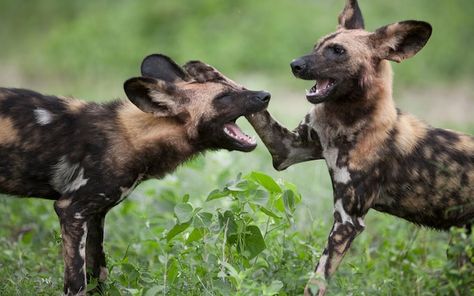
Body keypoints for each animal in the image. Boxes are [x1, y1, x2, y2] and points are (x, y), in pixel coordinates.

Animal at [0, 54, 270, 294]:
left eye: (231, 87)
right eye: (224, 97)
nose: (265, 95)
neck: (132, 136)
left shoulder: (95, 215)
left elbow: (99, 273)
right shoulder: (71, 209)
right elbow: (77, 281)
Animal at [246, 1, 472, 294]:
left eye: (338, 51)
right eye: (317, 46)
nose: (294, 65)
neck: (346, 122)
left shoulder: (347, 221)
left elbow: (317, 280)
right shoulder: (285, 150)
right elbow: (255, 109)